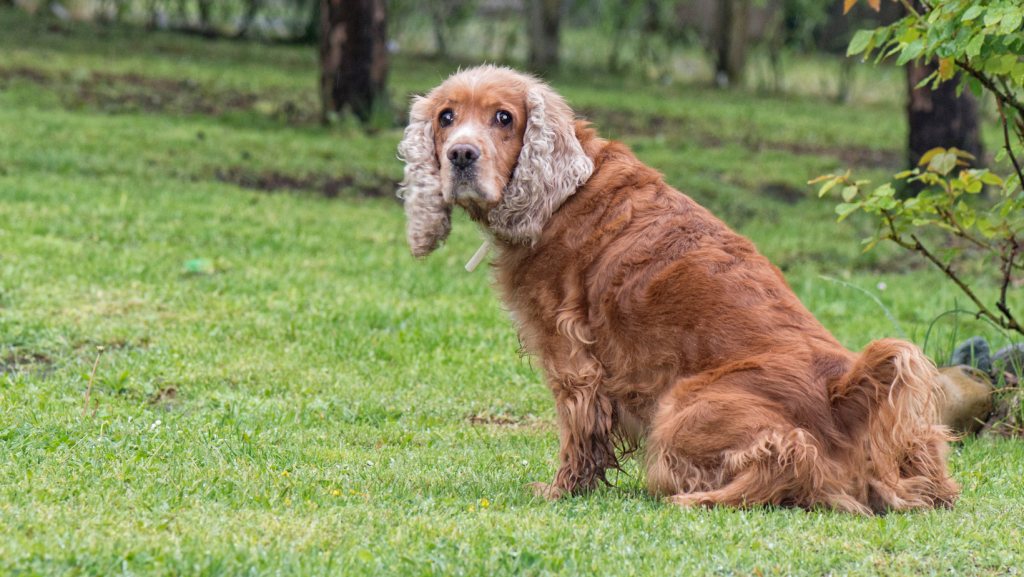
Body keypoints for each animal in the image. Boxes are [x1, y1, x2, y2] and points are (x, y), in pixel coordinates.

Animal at [395, 64, 954, 514]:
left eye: (504, 118)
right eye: (446, 117)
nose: (460, 155)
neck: (561, 193)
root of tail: (843, 392)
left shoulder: (570, 358)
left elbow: (577, 433)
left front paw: (561, 491)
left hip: (679, 409)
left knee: (792, 458)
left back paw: (696, 499)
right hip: (919, 436)